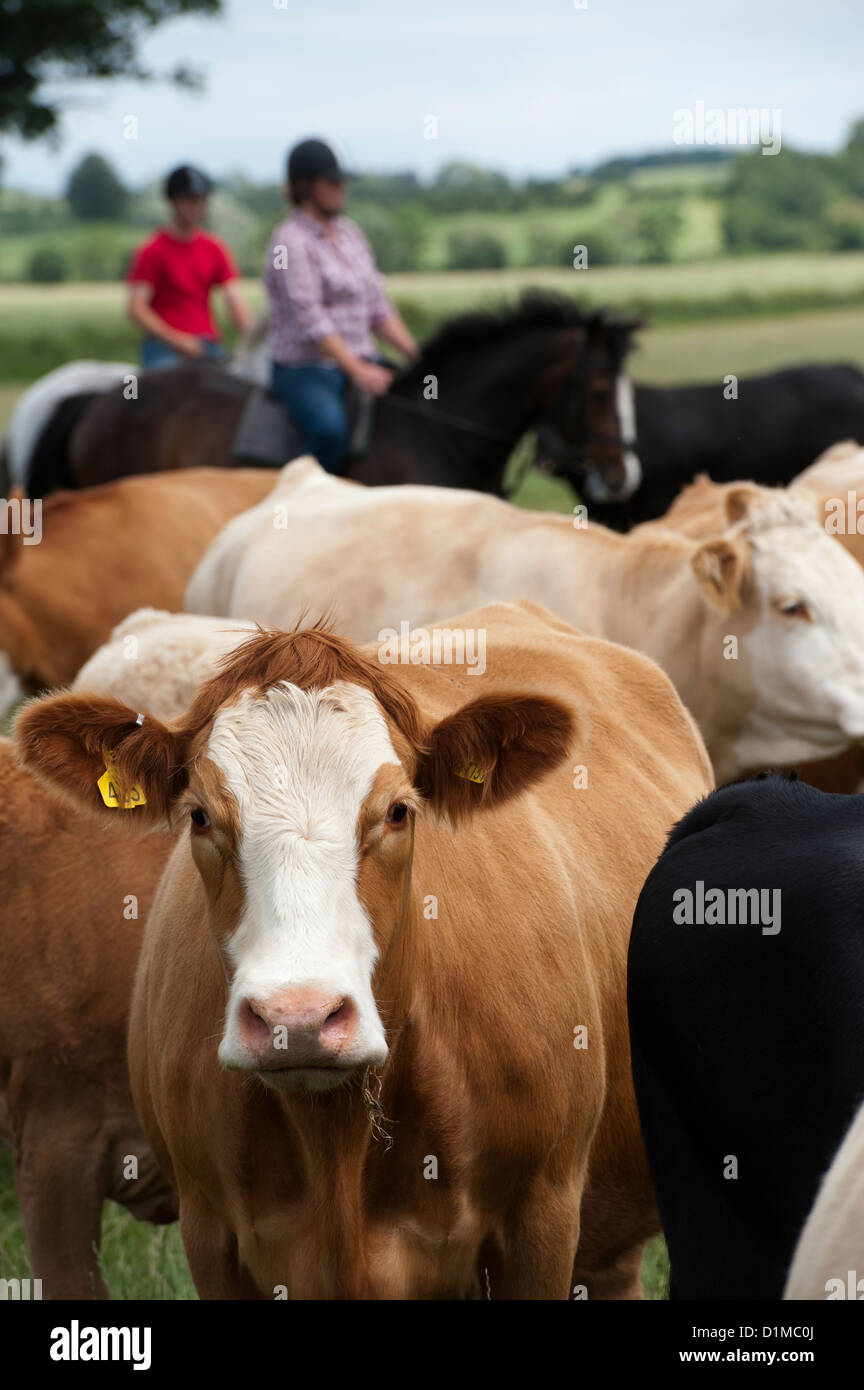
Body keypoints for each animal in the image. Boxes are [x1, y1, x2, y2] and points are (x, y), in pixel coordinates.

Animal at [15, 602, 713, 1299]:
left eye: (399, 810)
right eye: (200, 816)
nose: (296, 1019)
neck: (335, 1144)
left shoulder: (540, 1217)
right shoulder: (205, 1227)